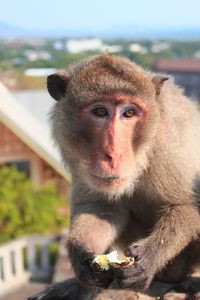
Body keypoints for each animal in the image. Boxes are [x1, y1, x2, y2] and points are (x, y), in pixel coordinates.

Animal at [27, 54, 200, 300]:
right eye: (100, 112)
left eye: (129, 113)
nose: (113, 154)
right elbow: (103, 208)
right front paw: (81, 255)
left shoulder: (171, 144)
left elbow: (184, 205)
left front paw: (148, 258)